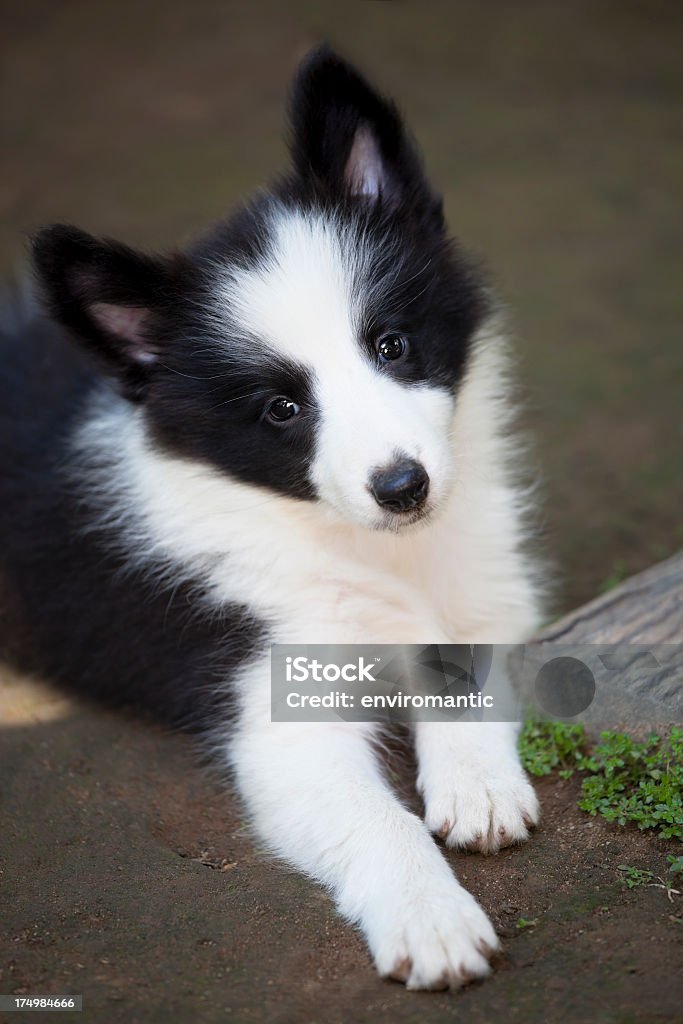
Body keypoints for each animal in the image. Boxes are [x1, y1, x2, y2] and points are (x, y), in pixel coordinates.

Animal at [2, 48, 540, 991]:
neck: (372, 552)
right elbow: (377, 820)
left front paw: (476, 786)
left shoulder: (483, 586)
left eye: (391, 345)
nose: (401, 487)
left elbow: (460, 667)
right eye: (282, 409)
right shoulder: (277, 706)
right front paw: (432, 920)